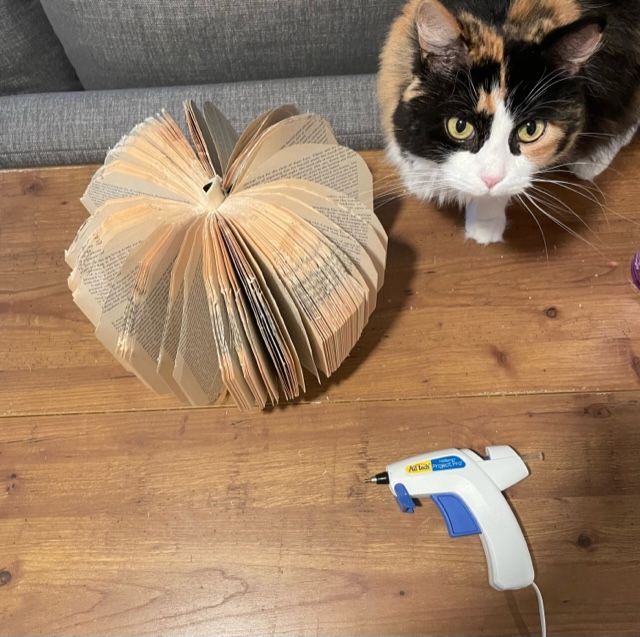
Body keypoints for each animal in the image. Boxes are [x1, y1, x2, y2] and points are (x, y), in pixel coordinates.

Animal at [380, 0, 640, 243]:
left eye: (530, 130)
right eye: (460, 126)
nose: (491, 180)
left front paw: (485, 225)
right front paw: (421, 178)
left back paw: (591, 163)